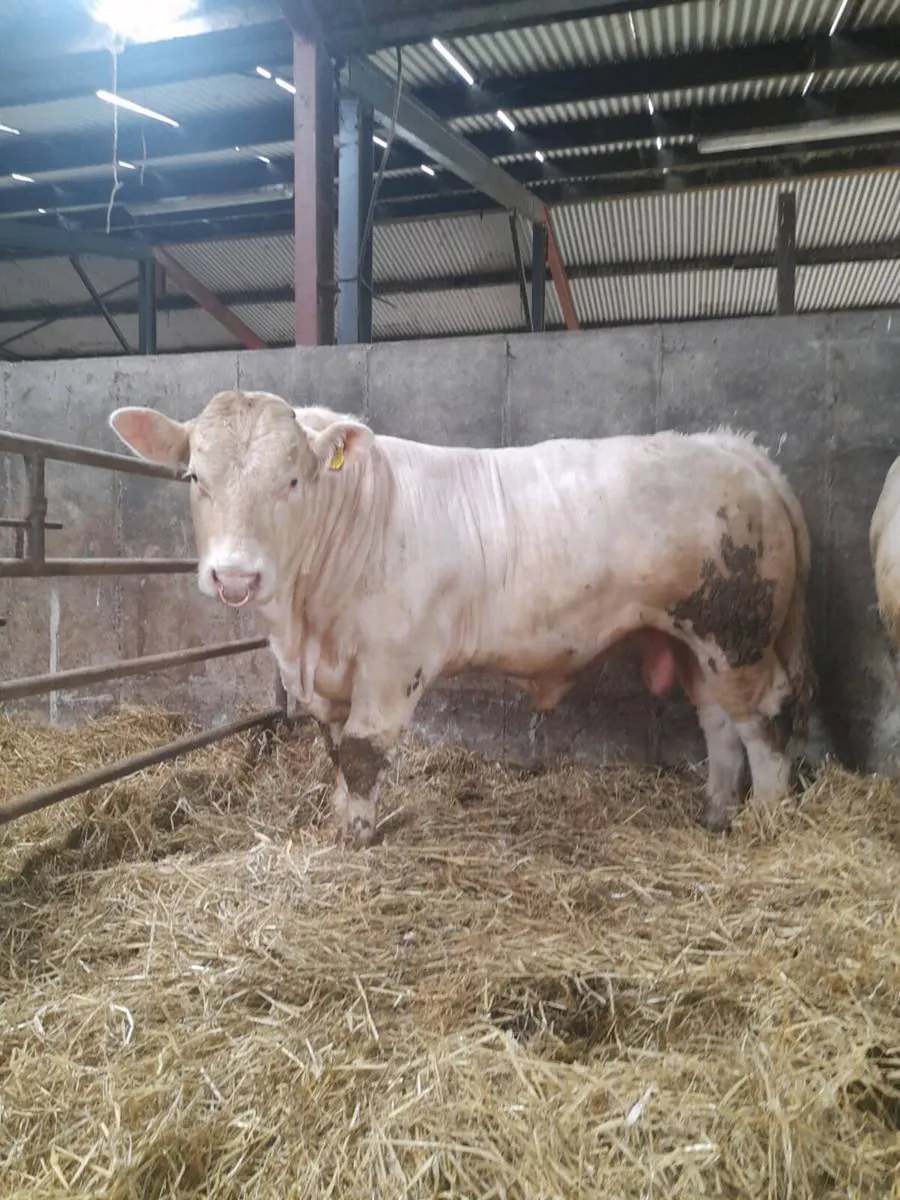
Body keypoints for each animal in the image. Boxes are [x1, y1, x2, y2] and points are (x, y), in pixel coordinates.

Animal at [109, 389, 814, 848]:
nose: (235, 576)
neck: (305, 628)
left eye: (292, 481)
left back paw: (769, 820)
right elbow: (337, 751)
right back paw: (716, 815)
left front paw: (356, 839)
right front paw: (340, 820)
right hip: (699, 640)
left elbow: (362, 752)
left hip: (737, 634)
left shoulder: (392, 663)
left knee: (765, 718)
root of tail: (734, 450)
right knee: (721, 723)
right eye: (194, 477)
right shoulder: (329, 679)